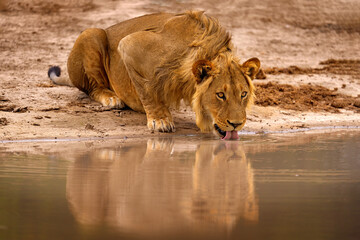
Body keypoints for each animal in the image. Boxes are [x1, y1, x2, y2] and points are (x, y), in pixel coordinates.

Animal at [49, 11, 260, 140]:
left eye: (243, 94)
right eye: (220, 95)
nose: (237, 124)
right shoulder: (129, 45)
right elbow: (147, 90)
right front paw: (160, 120)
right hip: (91, 34)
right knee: (92, 88)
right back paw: (111, 98)